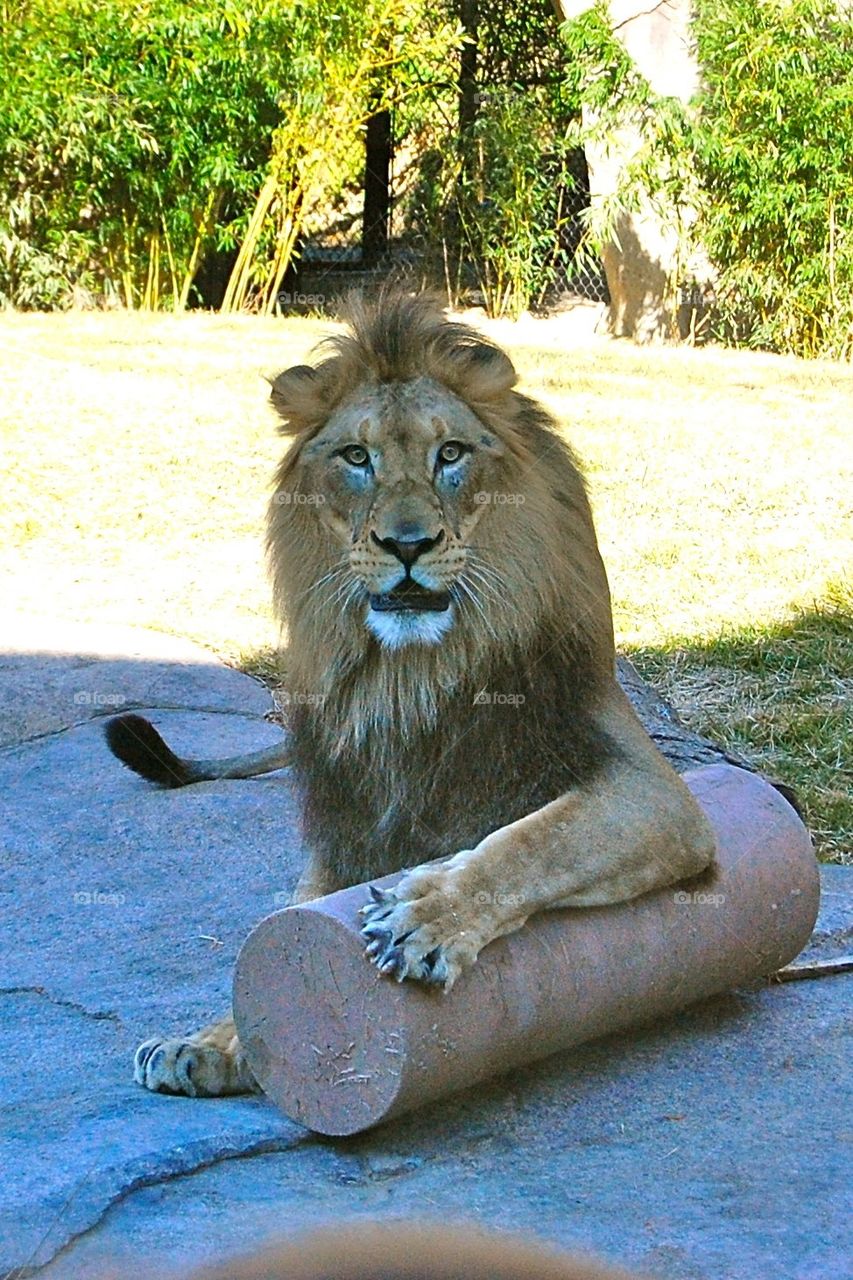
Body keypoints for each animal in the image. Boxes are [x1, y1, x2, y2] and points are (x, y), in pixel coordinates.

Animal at [106, 290, 717, 1099]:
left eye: (449, 454)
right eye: (356, 458)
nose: (406, 545)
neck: (409, 676)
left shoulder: (655, 794)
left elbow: (532, 840)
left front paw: (425, 915)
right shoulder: (350, 819)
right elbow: (298, 911)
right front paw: (212, 1040)